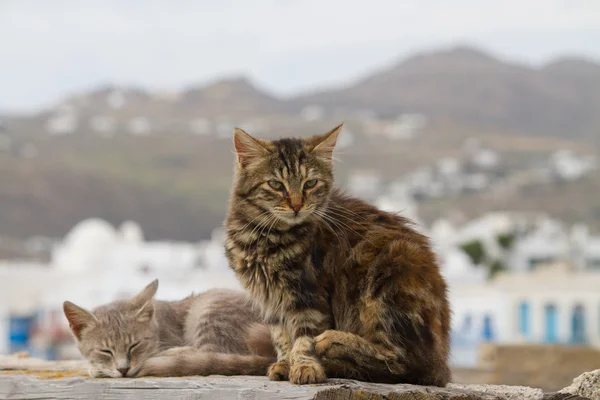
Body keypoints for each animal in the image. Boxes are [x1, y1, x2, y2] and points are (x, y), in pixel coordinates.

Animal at [225, 124, 450, 384]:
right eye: (276, 185)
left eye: (310, 183)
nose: (296, 205)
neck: (264, 237)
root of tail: (442, 362)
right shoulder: (271, 301)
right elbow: (282, 338)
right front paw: (285, 363)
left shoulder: (310, 296)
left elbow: (303, 338)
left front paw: (305, 367)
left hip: (390, 276)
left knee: (401, 362)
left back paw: (333, 346)